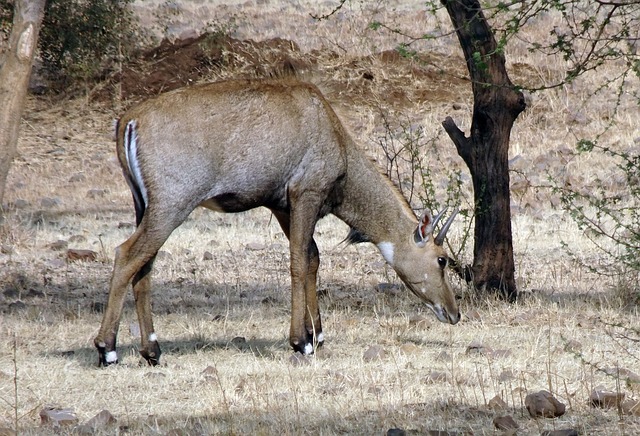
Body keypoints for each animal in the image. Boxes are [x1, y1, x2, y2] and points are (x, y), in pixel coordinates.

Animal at [92, 79, 458, 368]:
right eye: (442, 260)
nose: (454, 314)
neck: (334, 134)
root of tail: (129, 121)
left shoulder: (282, 205)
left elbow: (312, 258)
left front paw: (317, 333)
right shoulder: (306, 193)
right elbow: (298, 261)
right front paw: (301, 341)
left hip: (145, 207)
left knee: (144, 266)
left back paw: (152, 350)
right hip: (172, 205)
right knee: (127, 255)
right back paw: (107, 349)